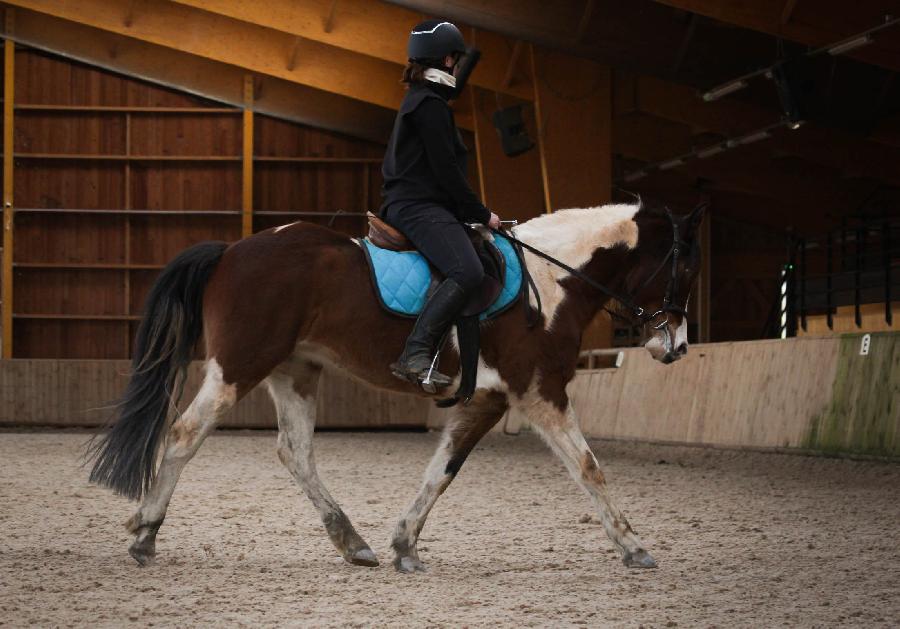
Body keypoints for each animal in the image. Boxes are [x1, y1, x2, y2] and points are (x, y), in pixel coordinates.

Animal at [86, 200, 704, 568]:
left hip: (294, 370)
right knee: (185, 434)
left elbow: (442, 471)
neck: (551, 279)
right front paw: (634, 545)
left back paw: (352, 542)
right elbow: (589, 467)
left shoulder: (487, 397)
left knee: (295, 451)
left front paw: (404, 543)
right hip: (240, 365)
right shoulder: (539, 389)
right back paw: (145, 534)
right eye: (686, 269)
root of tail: (231, 250)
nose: (675, 346)